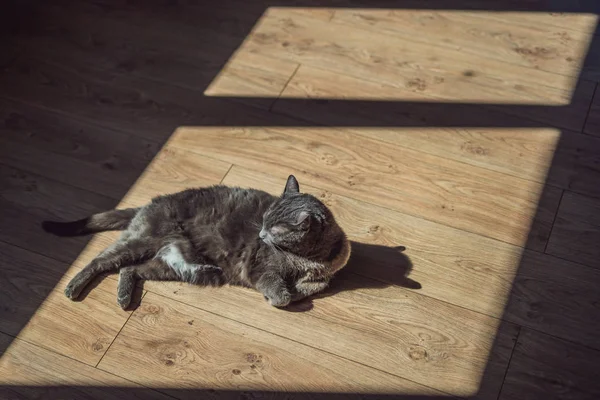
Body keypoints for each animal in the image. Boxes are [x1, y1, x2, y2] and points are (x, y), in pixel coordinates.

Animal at [43, 175, 352, 310]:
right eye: (263, 220)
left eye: (274, 229)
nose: (261, 235)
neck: (306, 259)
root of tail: (150, 203)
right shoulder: (260, 269)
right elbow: (281, 294)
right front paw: (280, 296)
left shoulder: (325, 274)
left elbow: (314, 286)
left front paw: (299, 289)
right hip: (141, 241)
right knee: (101, 260)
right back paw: (73, 288)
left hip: (173, 267)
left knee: (130, 269)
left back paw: (124, 298)